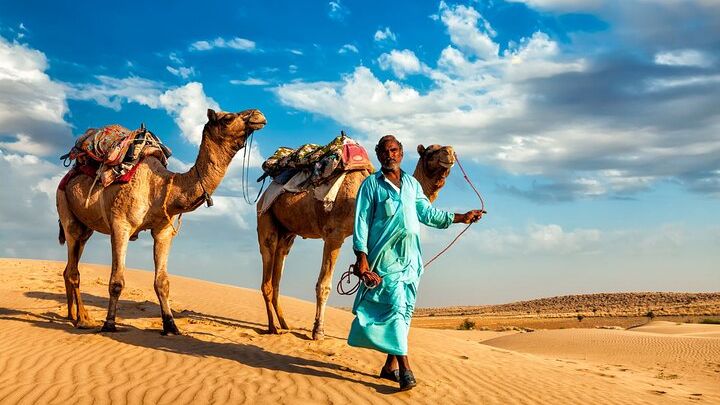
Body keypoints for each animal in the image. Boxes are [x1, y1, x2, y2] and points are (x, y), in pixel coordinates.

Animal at [57, 108, 266, 335]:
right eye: (227, 118)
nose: (258, 115)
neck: (159, 186)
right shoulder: (120, 225)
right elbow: (117, 281)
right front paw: (109, 323)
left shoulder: (163, 230)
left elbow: (162, 282)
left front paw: (170, 325)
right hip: (66, 210)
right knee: (74, 269)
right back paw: (83, 319)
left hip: (85, 228)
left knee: (70, 267)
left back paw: (73, 315)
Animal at [257, 143, 456, 340]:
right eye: (430, 152)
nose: (450, 152)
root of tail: (265, 193)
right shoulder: (334, 234)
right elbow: (324, 285)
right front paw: (318, 331)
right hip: (265, 216)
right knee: (268, 263)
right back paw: (273, 327)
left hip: (288, 232)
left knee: (279, 269)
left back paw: (284, 324)